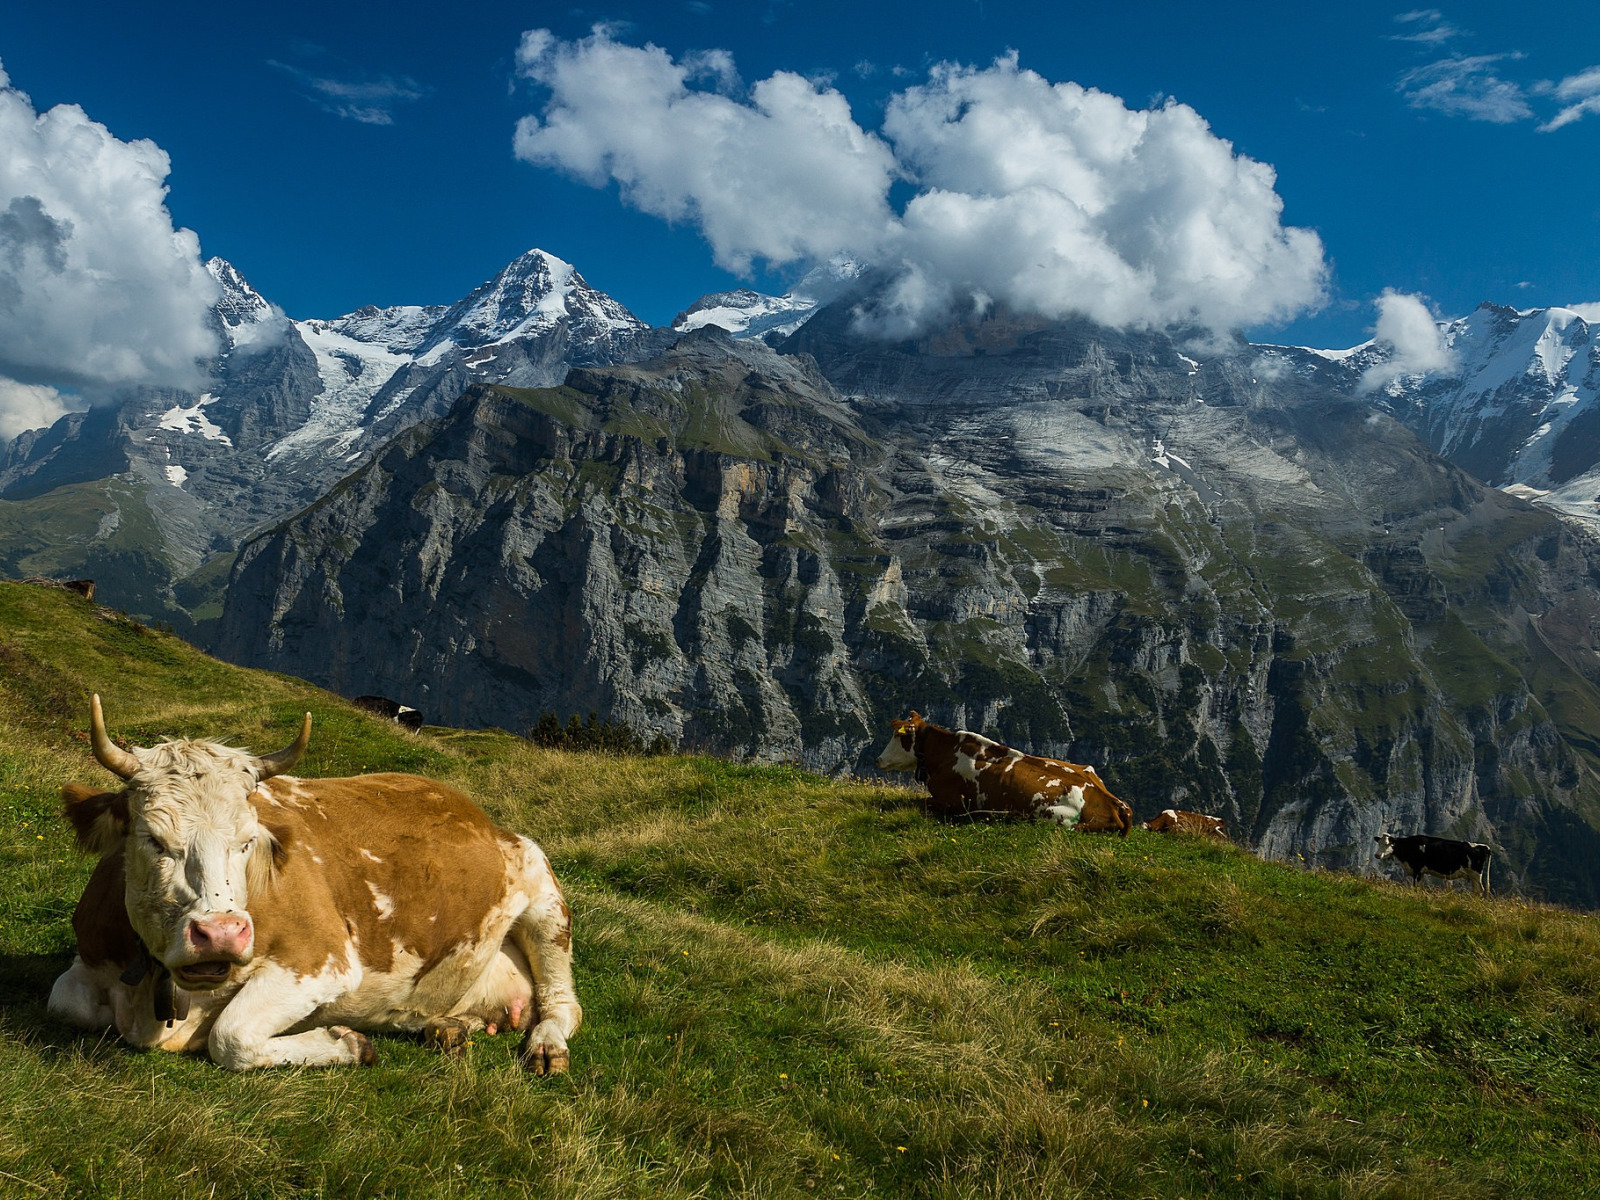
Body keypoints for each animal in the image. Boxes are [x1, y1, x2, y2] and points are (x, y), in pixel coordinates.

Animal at [45, 700, 588, 1075]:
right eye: (154, 839)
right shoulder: (91, 955)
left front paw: (347, 1044)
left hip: (546, 903)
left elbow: (231, 1036)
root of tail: (479, 815)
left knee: (562, 1003)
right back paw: (446, 1027)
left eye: (247, 841)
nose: (221, 934)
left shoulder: (321, 961)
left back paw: (545, 1046)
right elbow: (65, 1002)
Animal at [870, 713, 1132, 838]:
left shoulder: (952, 803)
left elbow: (919, 803)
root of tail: (1113, 803)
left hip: (1052, 817)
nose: (878, 759)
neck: (945, 753)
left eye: (897, 735)